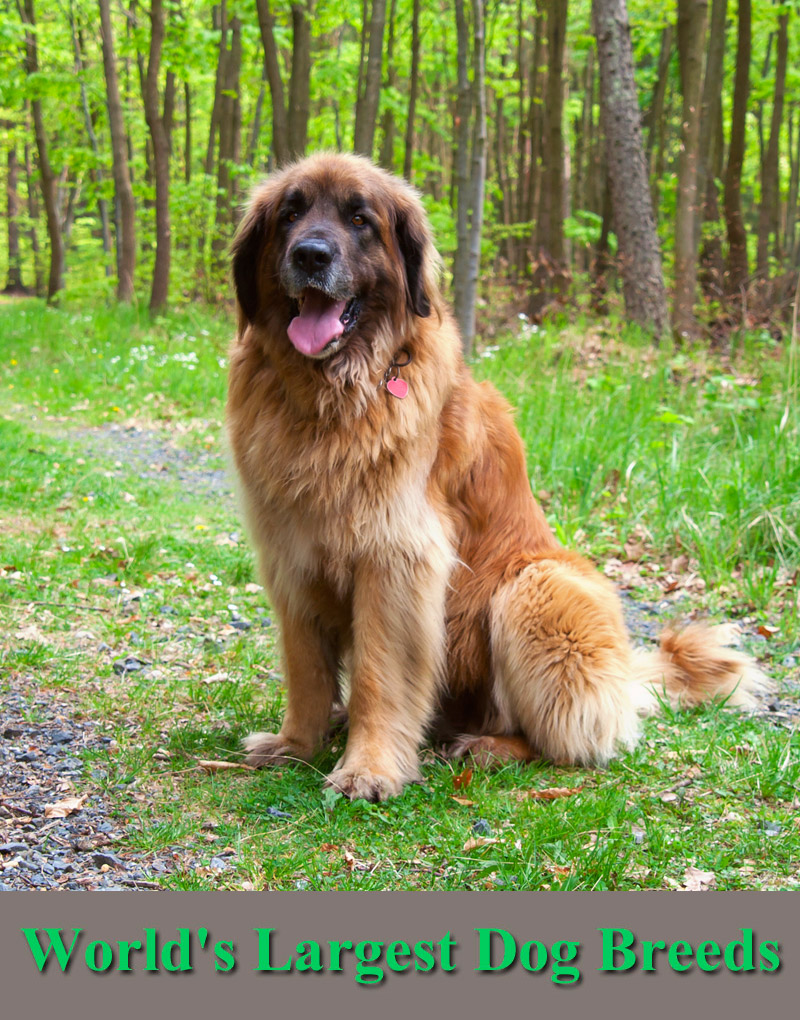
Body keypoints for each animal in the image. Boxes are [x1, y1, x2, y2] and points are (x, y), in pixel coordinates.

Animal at [226, 150, 763, 803]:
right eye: (290, 213)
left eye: (359, 219)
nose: (310, 256)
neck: (330, 396)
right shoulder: (291, 554)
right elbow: (305, 667)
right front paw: (297, 744)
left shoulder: (396, 557)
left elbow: (381, 674)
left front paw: (369, 768)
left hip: (535, 589)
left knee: (568, 738)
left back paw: (488, 746)